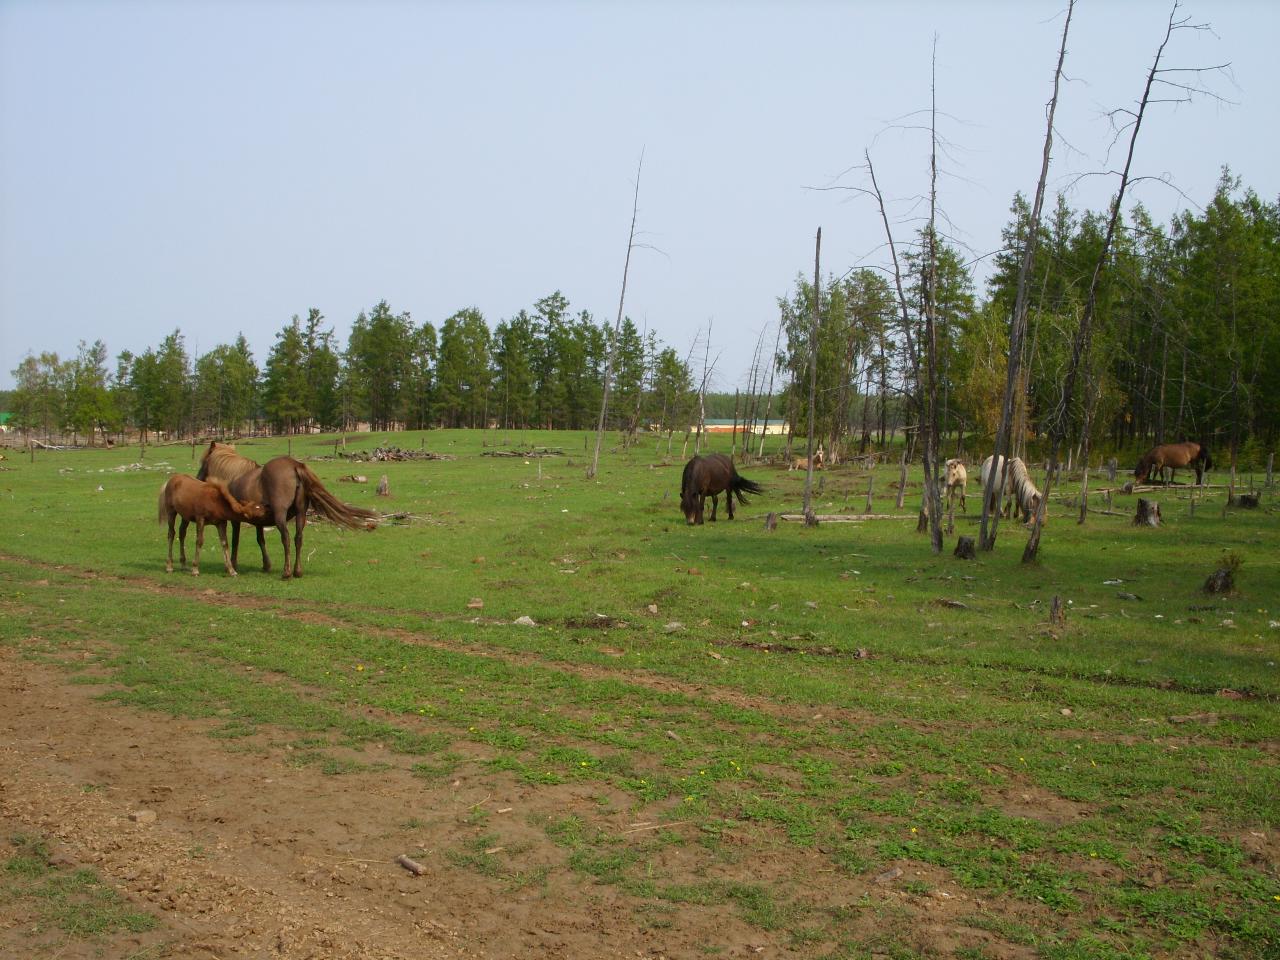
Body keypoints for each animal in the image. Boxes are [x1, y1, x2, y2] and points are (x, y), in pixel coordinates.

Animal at [193, 442, 373, 578]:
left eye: (203, 462)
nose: (198, 478)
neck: (234, 478)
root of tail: (295, 466)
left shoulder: (236, 520)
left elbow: (235, 541)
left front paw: (233, 564)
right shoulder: (259, 521)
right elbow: (260, 540)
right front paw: (266, 565)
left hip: (281, 515)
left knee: (285, 538)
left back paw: (286, 572)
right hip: (301, 515)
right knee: (298, 538)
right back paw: (297, 571)